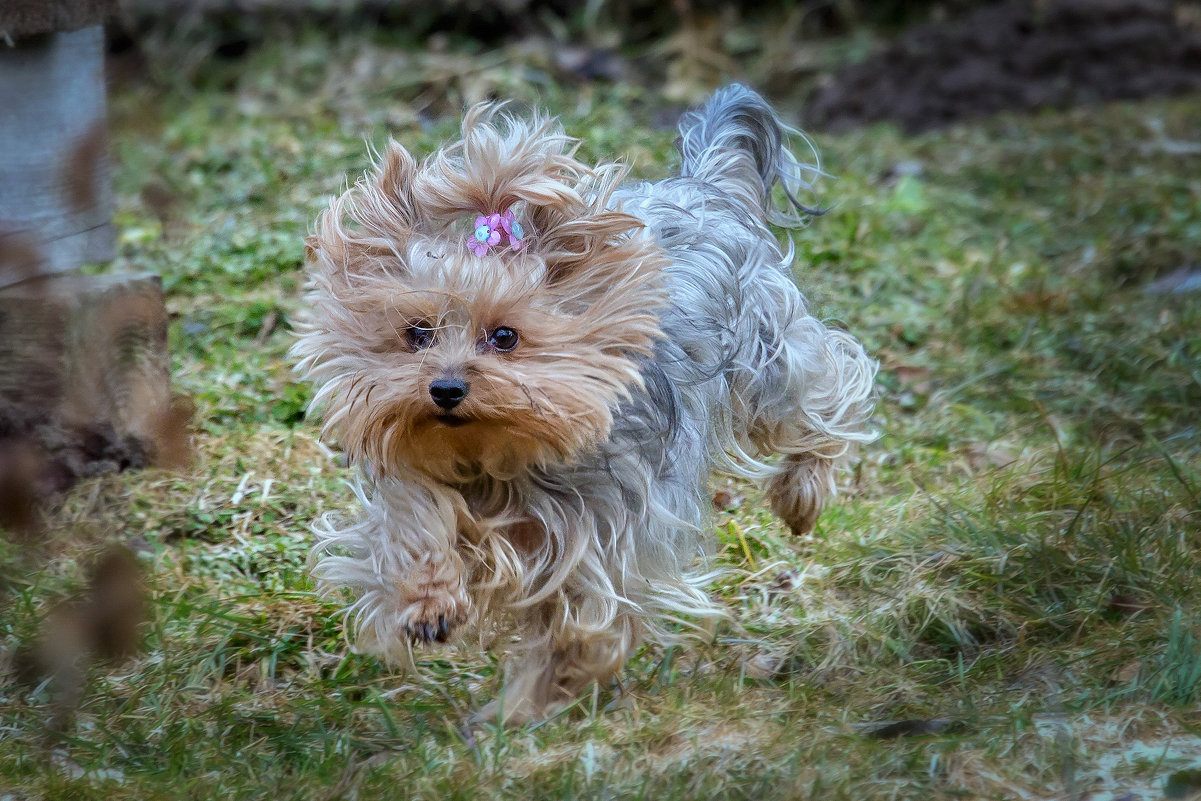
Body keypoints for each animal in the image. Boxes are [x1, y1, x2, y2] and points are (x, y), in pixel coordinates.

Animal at [290, 84, 874, 725]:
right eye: (416, 333)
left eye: (505, 336)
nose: (444, 390)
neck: (501, 459)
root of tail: (703, 184)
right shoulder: (420, 471)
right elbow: (410, 528)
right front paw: (428, 605)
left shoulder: (601, 536)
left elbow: (578, 624)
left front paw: (522, 710)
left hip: (769, 360)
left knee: (828, 391)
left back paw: (802, 495)